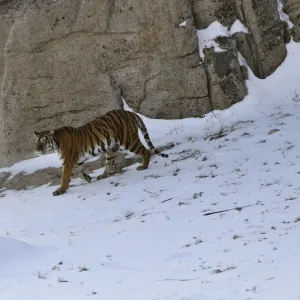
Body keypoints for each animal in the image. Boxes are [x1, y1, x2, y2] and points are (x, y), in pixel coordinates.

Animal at [34, 109, 169, 196]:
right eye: (36, 141)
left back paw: (143, 167)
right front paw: (88, 178)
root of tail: (129, 112)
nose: (37, 149)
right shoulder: (78, 160)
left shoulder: (68, 162)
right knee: (109, 163)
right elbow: (77, 172)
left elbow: (64, 177)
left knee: (146, 151)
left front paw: (60, 190)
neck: (56, 144)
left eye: (43, 141)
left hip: (129, 140)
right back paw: (103, 175)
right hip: (111, 148)